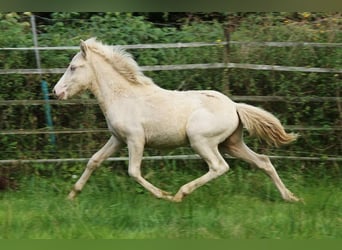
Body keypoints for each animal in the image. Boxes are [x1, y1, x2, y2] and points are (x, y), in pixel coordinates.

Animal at [52, 38, 300, 203]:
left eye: (73, 67)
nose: (56, 92)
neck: (124, 96)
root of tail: (235, 106)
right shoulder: (118, 139)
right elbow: (94, 161)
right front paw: (72, 195)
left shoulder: (135, 139)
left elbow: (133, 171)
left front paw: (163, 194)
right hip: (232, 143)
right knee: (263, 162)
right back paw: (290, 197)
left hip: (201, 141)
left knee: (219, 166)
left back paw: (180, 194)